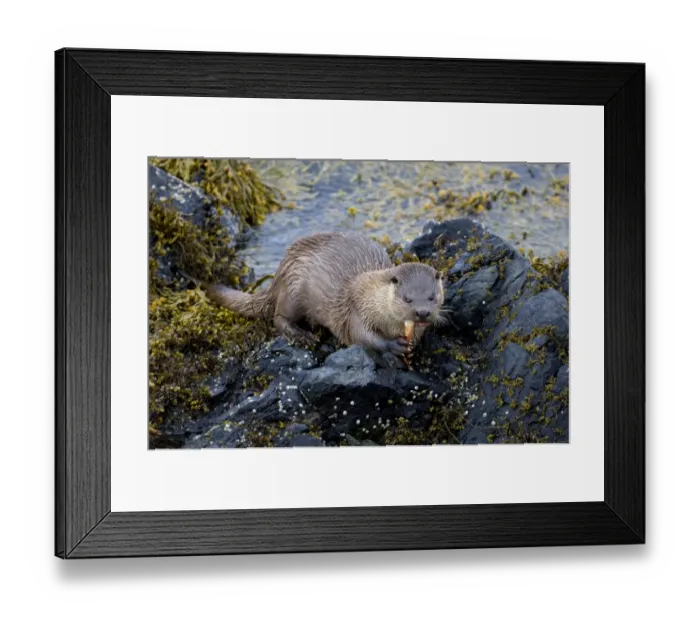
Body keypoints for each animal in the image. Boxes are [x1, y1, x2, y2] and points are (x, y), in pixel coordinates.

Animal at [204, 232, 445, 357]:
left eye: (432, 297)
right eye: (407, 298)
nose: (422, 312)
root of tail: (282, 268)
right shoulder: (356, 311)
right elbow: (363, 337)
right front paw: (393, 346)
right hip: (294, 289)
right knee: (278, 318)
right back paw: (303, 336)